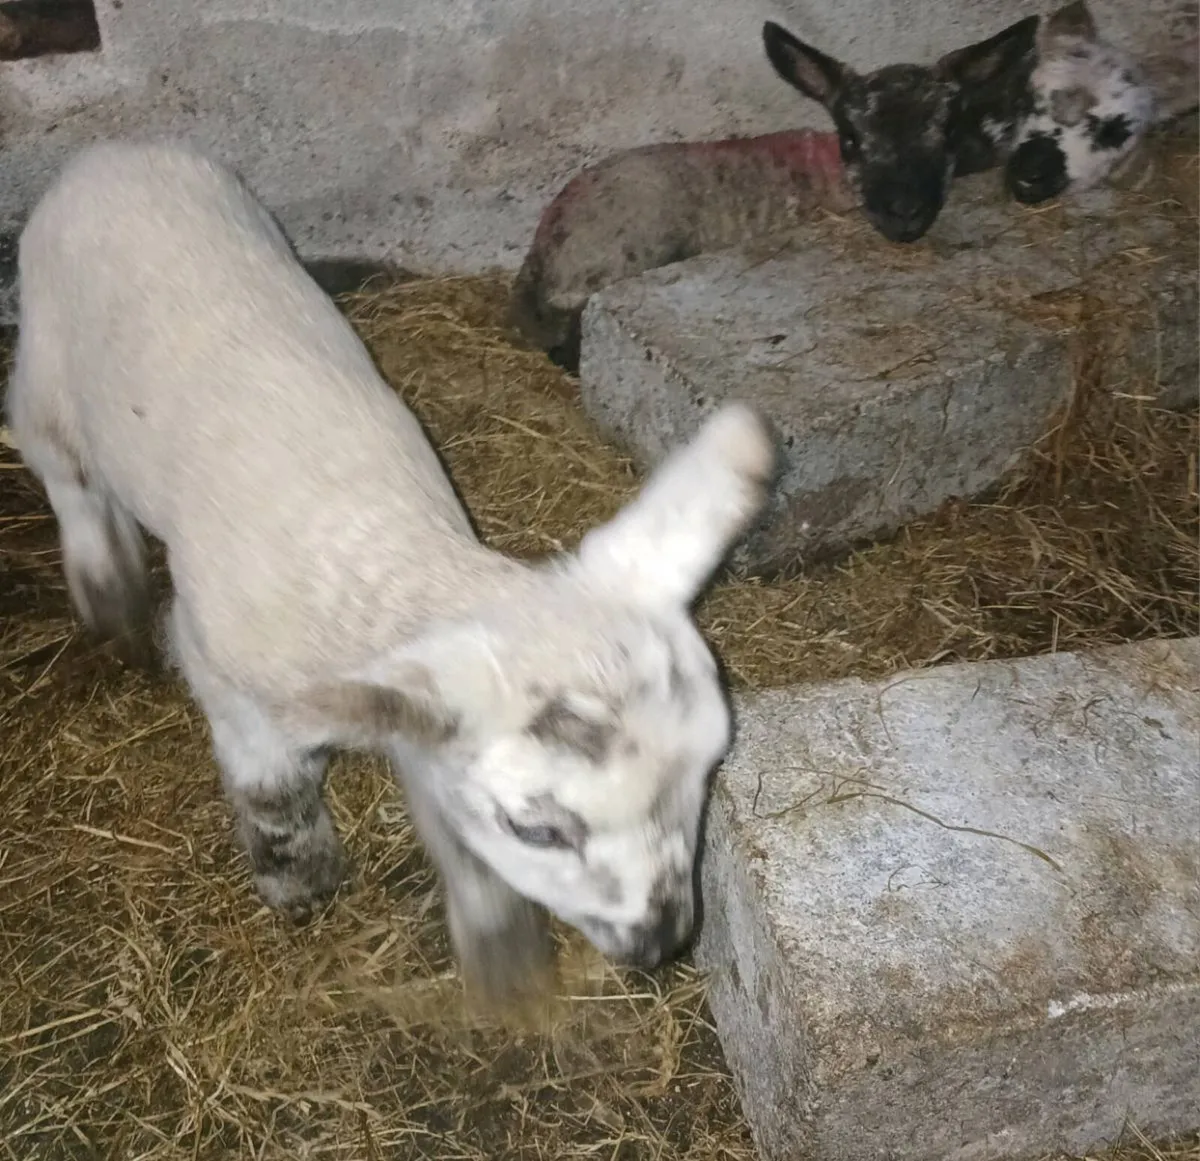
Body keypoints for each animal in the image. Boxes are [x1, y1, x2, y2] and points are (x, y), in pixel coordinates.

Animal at [5, 140, 776, 1006]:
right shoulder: (227, 675)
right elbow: (273, 787)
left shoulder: (415, 705)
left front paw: (499, 951)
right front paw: (299, 878)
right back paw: (106, 587)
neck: (392, 556)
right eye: (537, 829)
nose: (662, 940)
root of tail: (119, 150)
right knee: (62, 468)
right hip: (47, 364)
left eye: (712, 764)